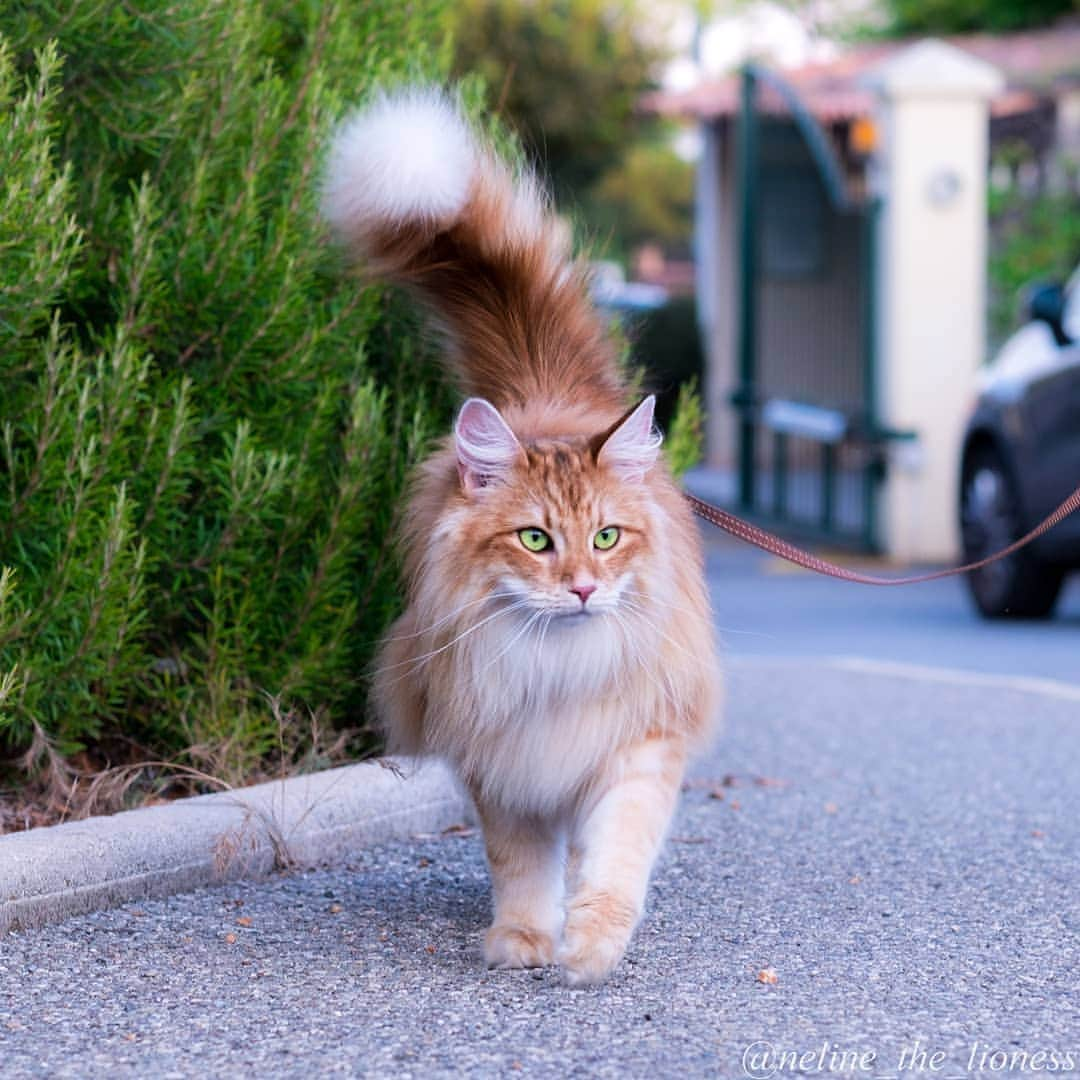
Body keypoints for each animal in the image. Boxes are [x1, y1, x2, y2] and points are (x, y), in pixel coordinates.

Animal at [324, 88, 721, 984]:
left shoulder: (636, 748)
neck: (557, 666)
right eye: (536, 541)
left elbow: (614, 862)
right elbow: (523, 866)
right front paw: (527, 939)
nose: (582, 588)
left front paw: (591, 948)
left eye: (606, 538)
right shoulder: (504, 764)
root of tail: (547, 392)